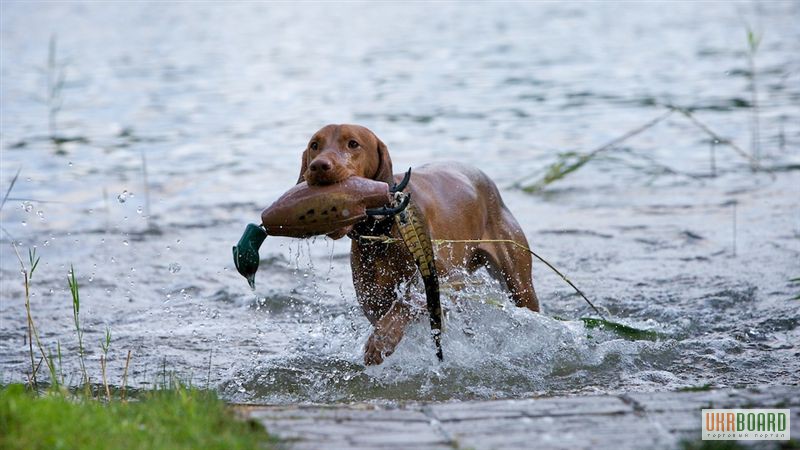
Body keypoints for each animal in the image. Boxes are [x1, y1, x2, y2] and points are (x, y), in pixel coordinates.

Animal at [296, 124, 540, 366]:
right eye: (315, 145)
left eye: (353, 144)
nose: (319, 166)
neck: (381, 232)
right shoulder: (374, 302)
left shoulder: (446, 280)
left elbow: (407, 303)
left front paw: (382, 340)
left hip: (521, 286)